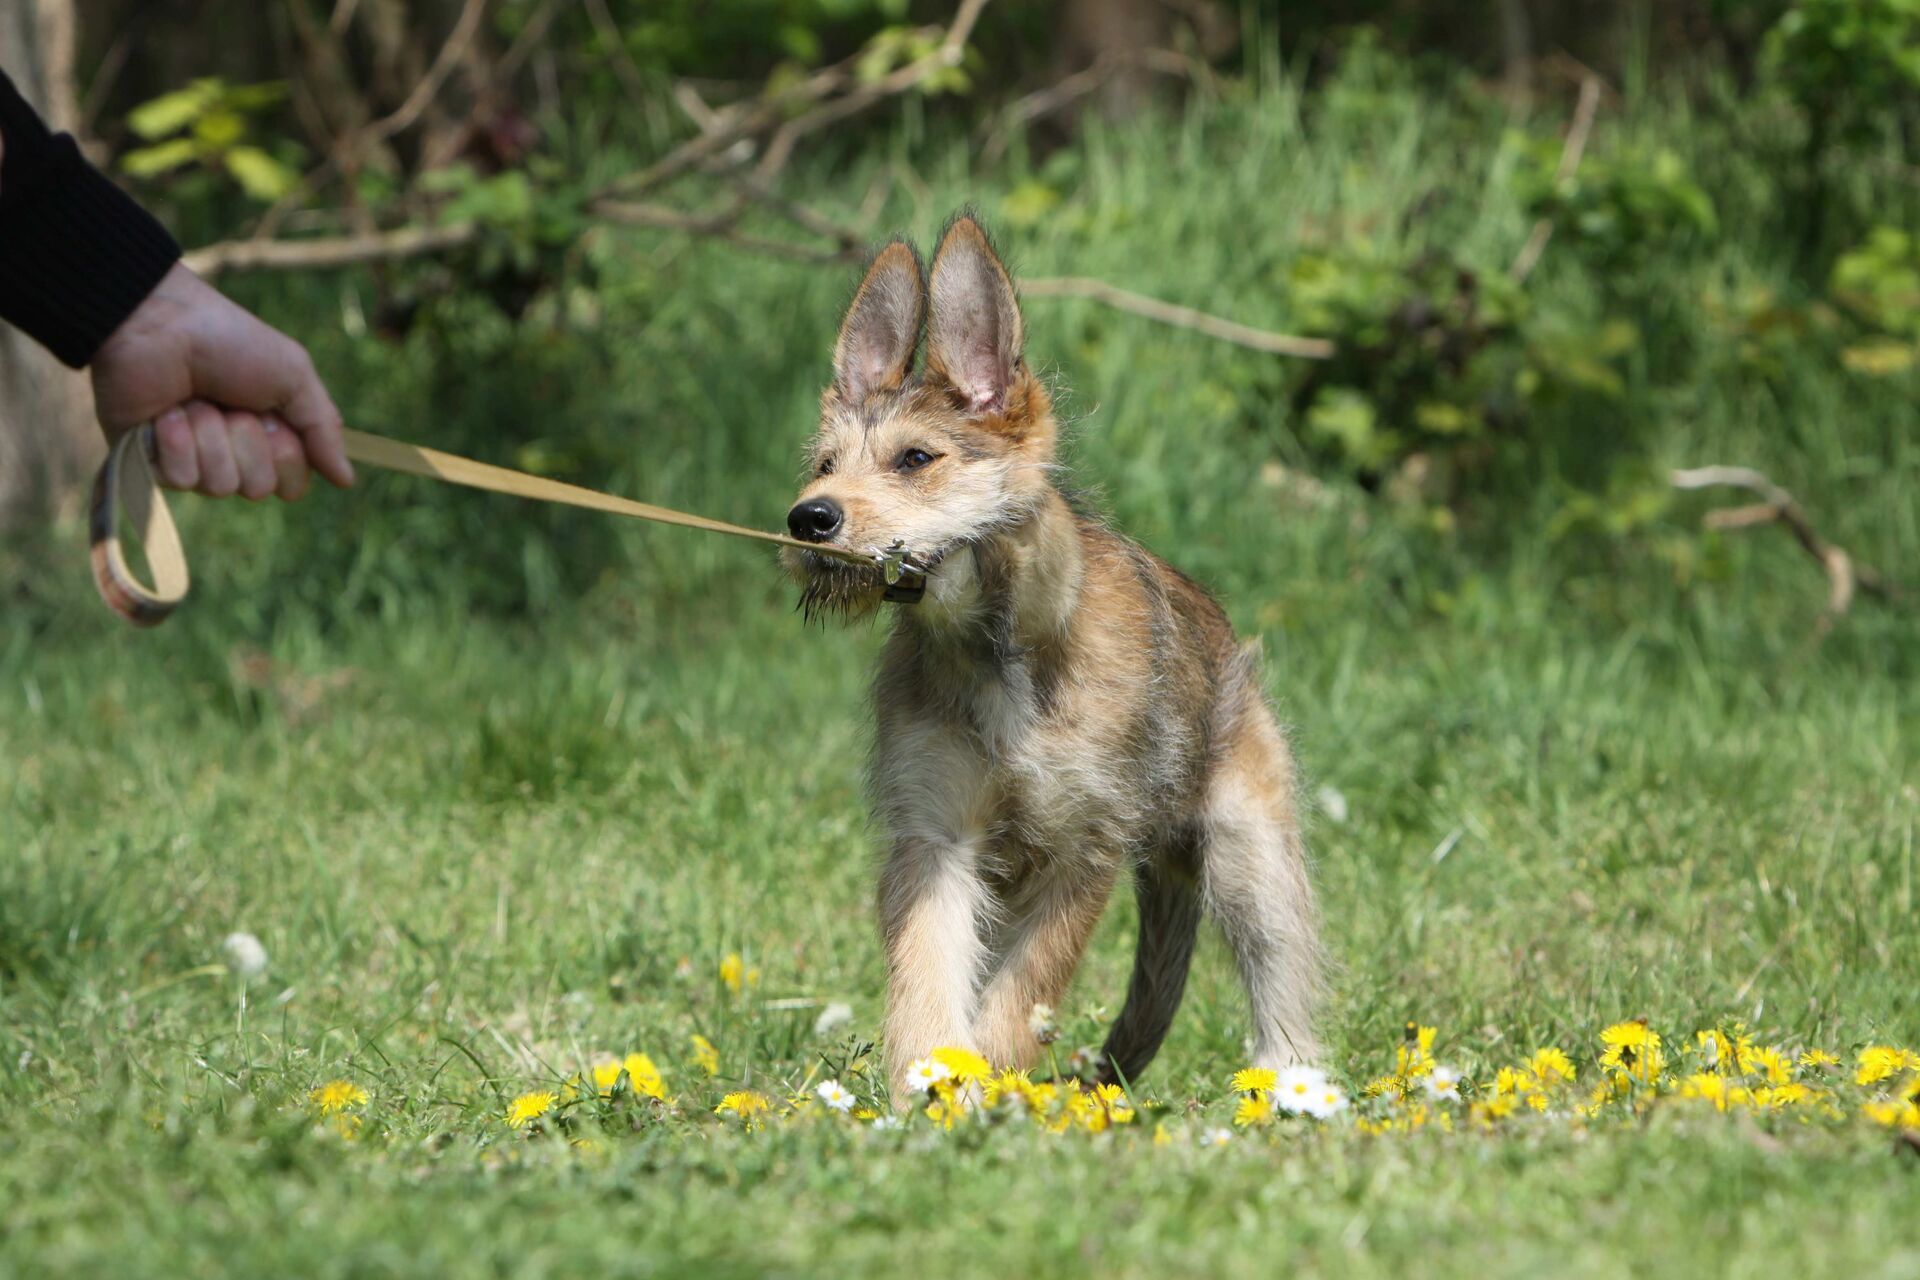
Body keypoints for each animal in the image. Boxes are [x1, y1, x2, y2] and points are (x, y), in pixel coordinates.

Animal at [783, 213, 1320, 1105]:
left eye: (915, 460)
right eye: (824, 466)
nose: (808, 519)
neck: (999, 653)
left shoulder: (1084, 850)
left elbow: (1020, 995)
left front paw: (985, 1086)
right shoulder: (936, 842)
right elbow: (928, 978)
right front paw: (930, 1088)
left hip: (1253, 861)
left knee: (1284, 988)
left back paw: (1293, 1091)